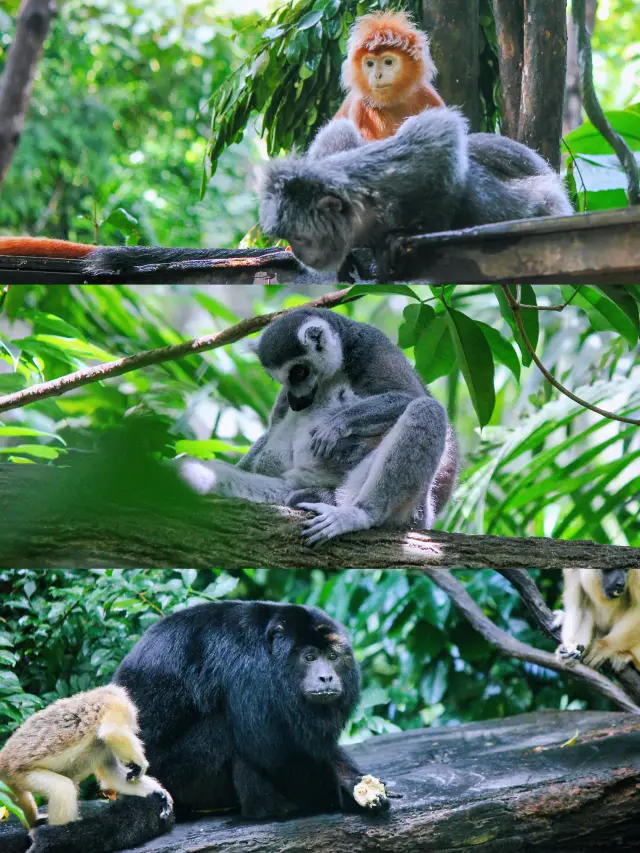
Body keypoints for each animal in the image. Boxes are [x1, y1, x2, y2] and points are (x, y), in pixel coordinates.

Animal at [0, 684, 174, 852]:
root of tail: (4, 757)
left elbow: (112, 776)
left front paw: (159, 792)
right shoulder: (116, 705)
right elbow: (112, 732)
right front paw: (141, 765)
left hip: (13, 780)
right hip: (21, 773)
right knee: (62, 788)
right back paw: (55, 840)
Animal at [179, 306, 460, 544]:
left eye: (298, 372)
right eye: (279, 379)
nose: (296, 402)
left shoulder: (372, 346)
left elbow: (409, 396)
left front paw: (335, 426)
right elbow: (271, 429)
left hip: (400, 505)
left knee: (427, 410)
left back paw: (357, 515)